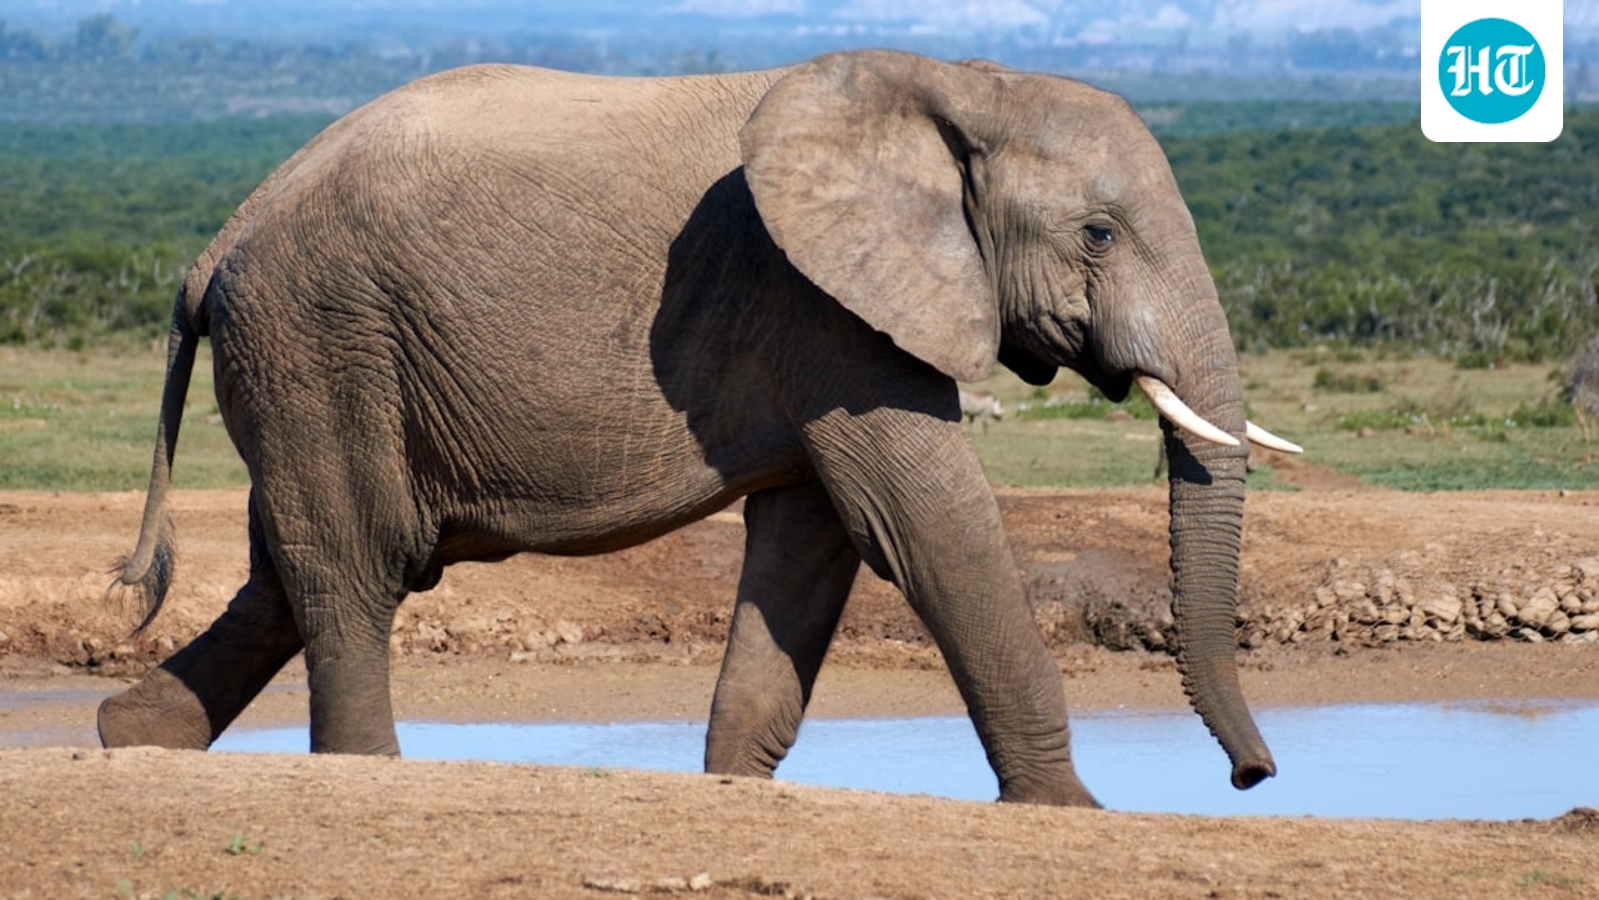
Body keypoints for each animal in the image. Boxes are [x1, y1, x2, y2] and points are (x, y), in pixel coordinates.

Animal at [98, 49, 1302, 806]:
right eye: (1098, 233)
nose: (1253, 777)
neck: (960, 86)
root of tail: (217, 243)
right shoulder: (820, 301)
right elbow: (924, 525)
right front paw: (1071, 809)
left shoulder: (823, 321)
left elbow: (812, 545)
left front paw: (731, 787)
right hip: (321, 338)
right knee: (354, 564)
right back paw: (357, 768)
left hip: (310, 362)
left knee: (290, 565)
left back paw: (128, 738)